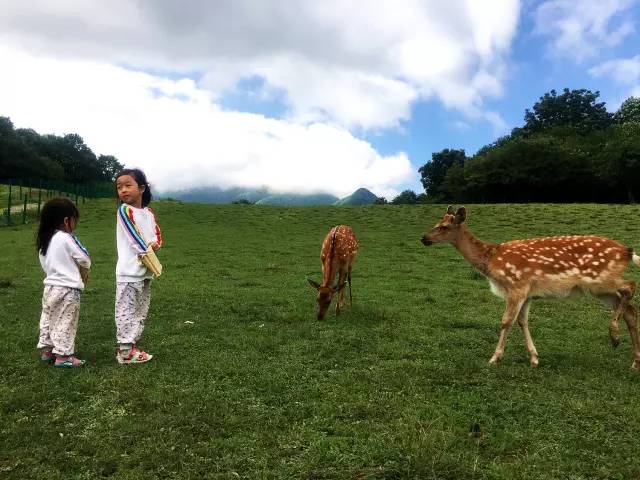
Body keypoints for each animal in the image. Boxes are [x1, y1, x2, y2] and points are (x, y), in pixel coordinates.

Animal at [421, 206, 640, 370]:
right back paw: (634, 360)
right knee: (630, 310)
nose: (424, 238)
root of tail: (627, 252)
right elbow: (522, 321)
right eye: (437, 223)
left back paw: (615, 336)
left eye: (444, 227)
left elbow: (506, 321)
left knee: (630, 286)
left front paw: (495, 358)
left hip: (600, 279)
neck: (491, 262)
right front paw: (534, 358)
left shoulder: (516, 286)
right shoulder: (527, 294)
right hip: (602, 289)